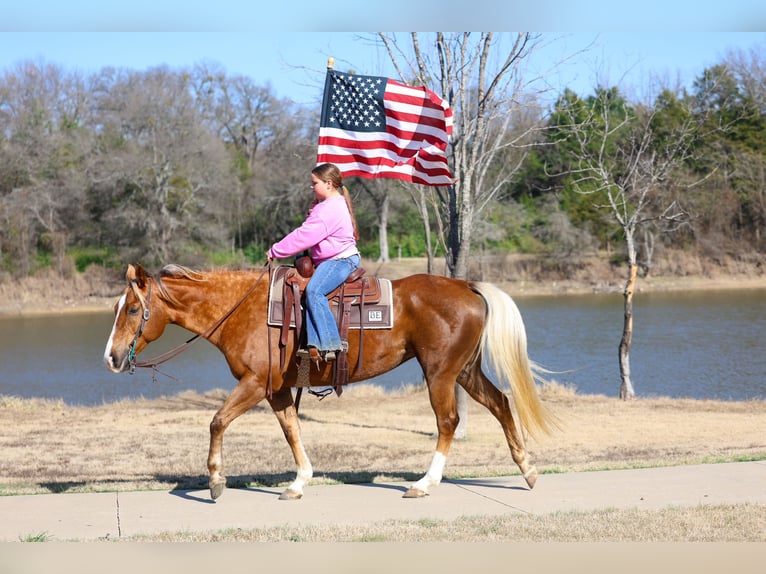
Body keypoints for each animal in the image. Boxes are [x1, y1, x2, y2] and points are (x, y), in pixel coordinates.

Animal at [103, 262, 556, 501]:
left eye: (132, 309)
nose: (110, 357)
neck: (243, 311)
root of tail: (466, 285)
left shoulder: (255, 383)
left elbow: (217, 421)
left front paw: (216, 481)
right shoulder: (278, 389)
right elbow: (292, 431)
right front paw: (299, 481)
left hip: (440, 372)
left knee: (448, 422)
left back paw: (425, 483)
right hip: (464, 370)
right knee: (501, 403)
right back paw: (528, 470)